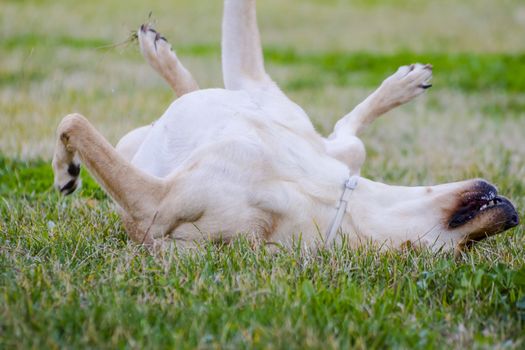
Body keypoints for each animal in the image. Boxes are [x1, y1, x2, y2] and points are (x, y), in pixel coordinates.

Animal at [51, 0, 516, 253]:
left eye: (460, 251)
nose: (512, 217)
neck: (328, 196)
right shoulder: (281, 113)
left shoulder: (154, 206)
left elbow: (73, 121)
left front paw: (65, 170)